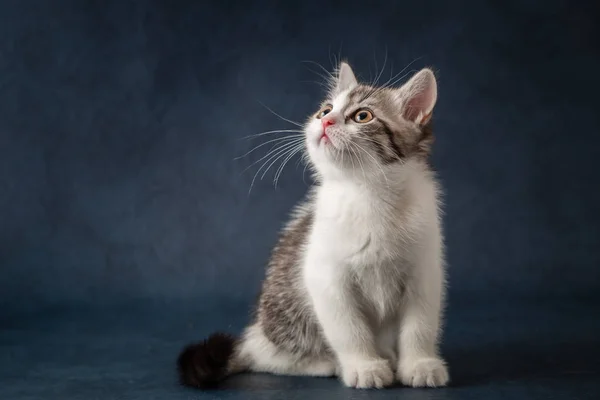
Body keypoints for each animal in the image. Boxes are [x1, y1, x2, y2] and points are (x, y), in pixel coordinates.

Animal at [178, 61, 450, 390]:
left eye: (362, 115)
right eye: (325, 110)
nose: (326, 122)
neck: (368, 193)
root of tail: (256, 334)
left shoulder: (425, 272)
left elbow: (419, 325)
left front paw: (420, 364)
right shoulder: (326, 277)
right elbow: (349, 329)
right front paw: (364, 366)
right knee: (269, 358)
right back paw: (328, 363)